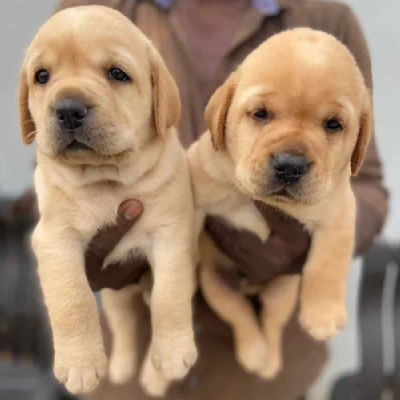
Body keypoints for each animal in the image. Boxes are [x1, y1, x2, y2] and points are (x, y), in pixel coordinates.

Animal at [19, 4, 198, 396]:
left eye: (117, 74)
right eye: (42, 76)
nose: (68, 108)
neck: (106, 180)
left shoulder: (172, 236)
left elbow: (170, 296)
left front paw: (174, 352)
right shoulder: (55, 239)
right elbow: (73, 298)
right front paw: (80, 363)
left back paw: (154, 376)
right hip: (118, 294)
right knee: (125, 325)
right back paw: (121, 368)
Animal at [188, 27, 372, 378]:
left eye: (333, 124)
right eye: (260, 114)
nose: (290, 165)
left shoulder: (339, 212)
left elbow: (328, 262)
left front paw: (323, 315)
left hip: (282, 292)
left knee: (271, 323)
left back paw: (269, 360)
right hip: (216, 282)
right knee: (239, 314)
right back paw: (254, 353)